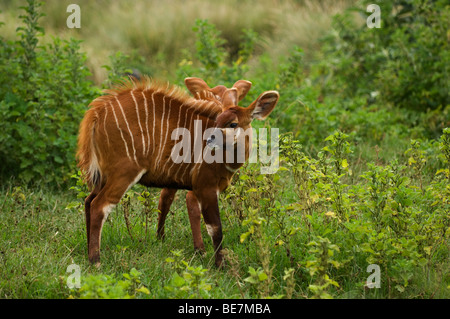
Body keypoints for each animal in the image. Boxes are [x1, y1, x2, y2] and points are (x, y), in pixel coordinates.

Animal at [77, 75, 280, 268]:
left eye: (232, 123)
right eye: (218, 120)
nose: (209, 139)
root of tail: (97, 113)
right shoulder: (205, 186)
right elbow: (215, 228)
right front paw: (220, 265)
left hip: (103, 177)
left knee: (88, 201)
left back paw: (88, 254)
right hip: (123, 174)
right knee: (99, 206)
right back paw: (96, 261)